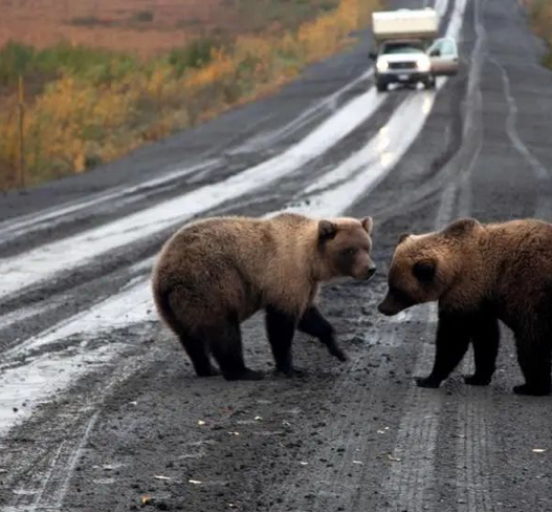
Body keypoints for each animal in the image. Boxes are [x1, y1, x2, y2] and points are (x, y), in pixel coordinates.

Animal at [151, 212, 378, 380]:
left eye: (367, 246)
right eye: (350, 250)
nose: (370, 269)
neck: (310, 262)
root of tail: (165, 273)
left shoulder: (304, 286)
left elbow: (310, 317)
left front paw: (338, 349)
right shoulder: (285, 276)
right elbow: (281, 326)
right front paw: (290, 368)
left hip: (173, 304)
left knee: (190, 337)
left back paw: (206, 369)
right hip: (211, 285)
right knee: (225, 332)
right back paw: (243, 372)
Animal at [380, 216, 552, 396]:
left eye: (397, 290)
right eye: (390, 284)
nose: (382, 308)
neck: (455, 269)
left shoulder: (465, 290)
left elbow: (454, 338)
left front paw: (428, 378)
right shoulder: (479, 300)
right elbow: (485, 337)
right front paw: (477, 376)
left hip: (533, 292)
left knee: (530, 341)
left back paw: (531, 387)